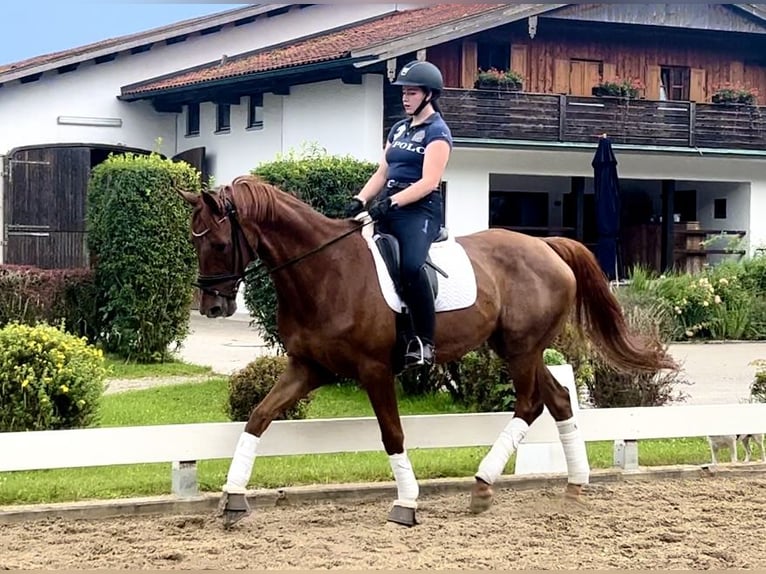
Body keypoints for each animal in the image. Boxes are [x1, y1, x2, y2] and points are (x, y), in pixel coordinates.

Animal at [178, 174, 680, 532]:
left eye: (219, 243)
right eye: (194, 242)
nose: (213, 306)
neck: (325, 271)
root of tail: (545, 245)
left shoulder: (374, 370)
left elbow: (392, 435)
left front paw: (406, 503)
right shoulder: (308, 368)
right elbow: (258, 417)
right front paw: (233, 498)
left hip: (521, 349)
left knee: (530, 404)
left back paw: (483, 485)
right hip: (518, 349)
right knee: (556, 401)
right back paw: (573, 486)